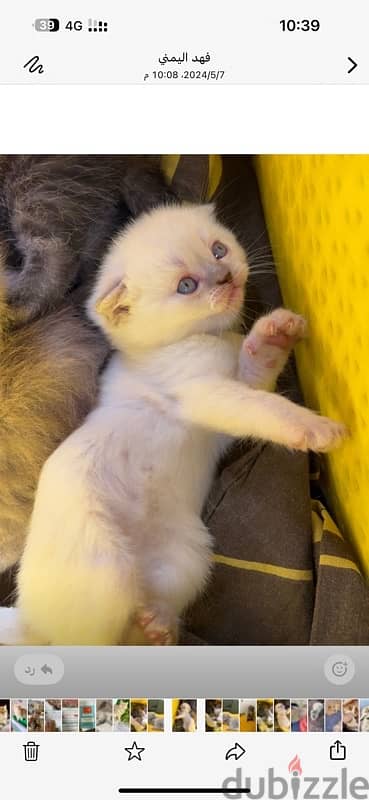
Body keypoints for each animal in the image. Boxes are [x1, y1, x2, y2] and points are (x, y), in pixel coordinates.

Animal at [5, 203, 344, 648]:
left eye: (218, 249)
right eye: (186, 286)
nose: (226, 276)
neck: (194, 342)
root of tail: (31, 622)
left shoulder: (234, 390)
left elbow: (258, 372)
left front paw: (276, 333)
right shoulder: (204, 394)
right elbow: (265, 408)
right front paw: (317, 429)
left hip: (190, 555)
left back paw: (156, 625)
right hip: (104, 564)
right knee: (94, 637)